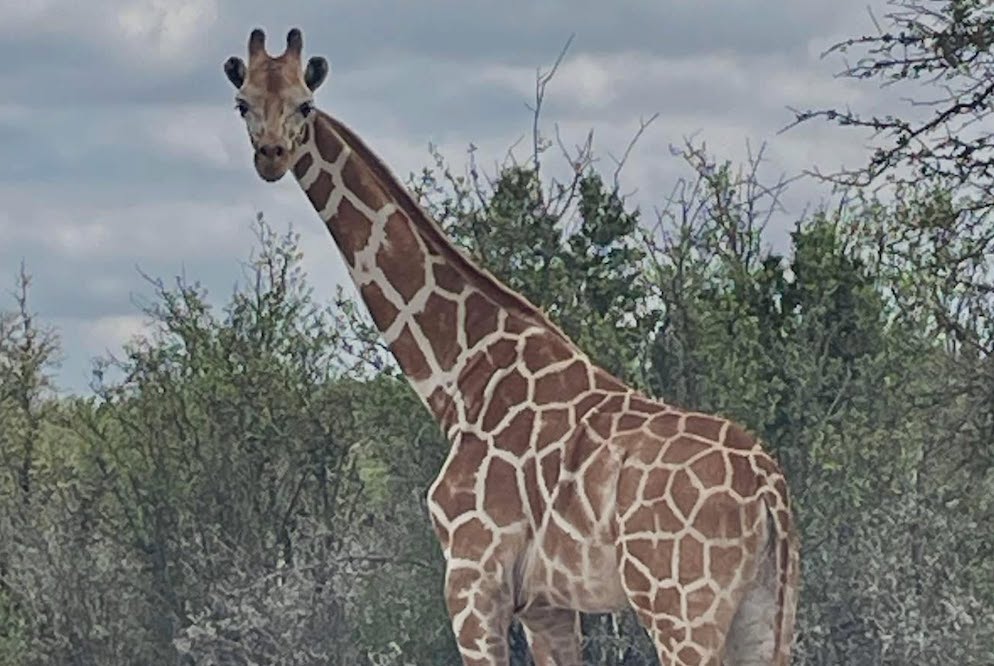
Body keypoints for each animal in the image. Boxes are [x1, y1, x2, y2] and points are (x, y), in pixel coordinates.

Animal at [223, 28, 800, 666]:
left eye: (305, 105)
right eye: (243, 103)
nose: (271, 156)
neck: (460, 377)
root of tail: (770, 490)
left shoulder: (472, 577)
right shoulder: (547, 604)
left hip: (679, 604)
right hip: (765, 610)